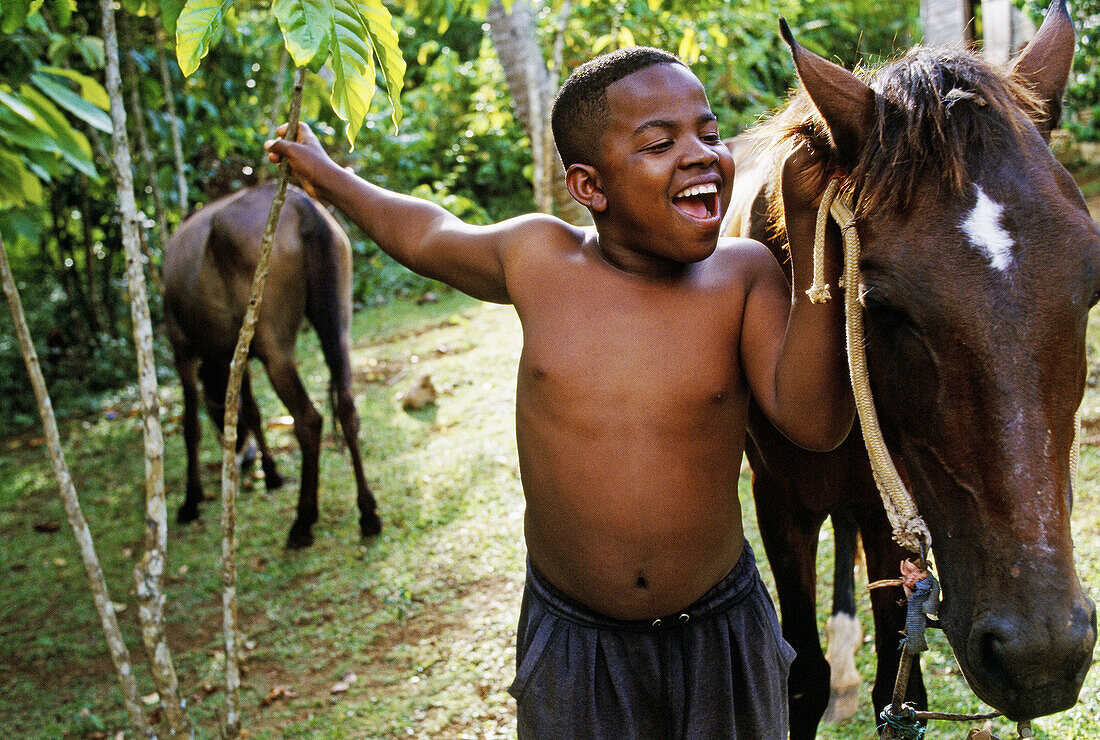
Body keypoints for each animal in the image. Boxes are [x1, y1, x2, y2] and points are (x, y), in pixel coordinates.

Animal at [162, 181, 382, 545]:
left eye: (215, 410)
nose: (240, 451)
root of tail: (301, 205)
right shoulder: (238, 356)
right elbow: (251, 410)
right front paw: (271, 471)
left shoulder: (183, 348)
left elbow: (191, 426)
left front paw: (191, 500)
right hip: (338, 328)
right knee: (347, 409)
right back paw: (367, 512)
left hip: (275, 349)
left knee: (308, 420)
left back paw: (303, 521)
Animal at [726, 2, 1095, 734]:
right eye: (881, 305)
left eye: (1093, 283)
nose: (1039, 653)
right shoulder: (777, 498)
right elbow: (799, 679)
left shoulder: (889, 513)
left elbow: (901, 697)